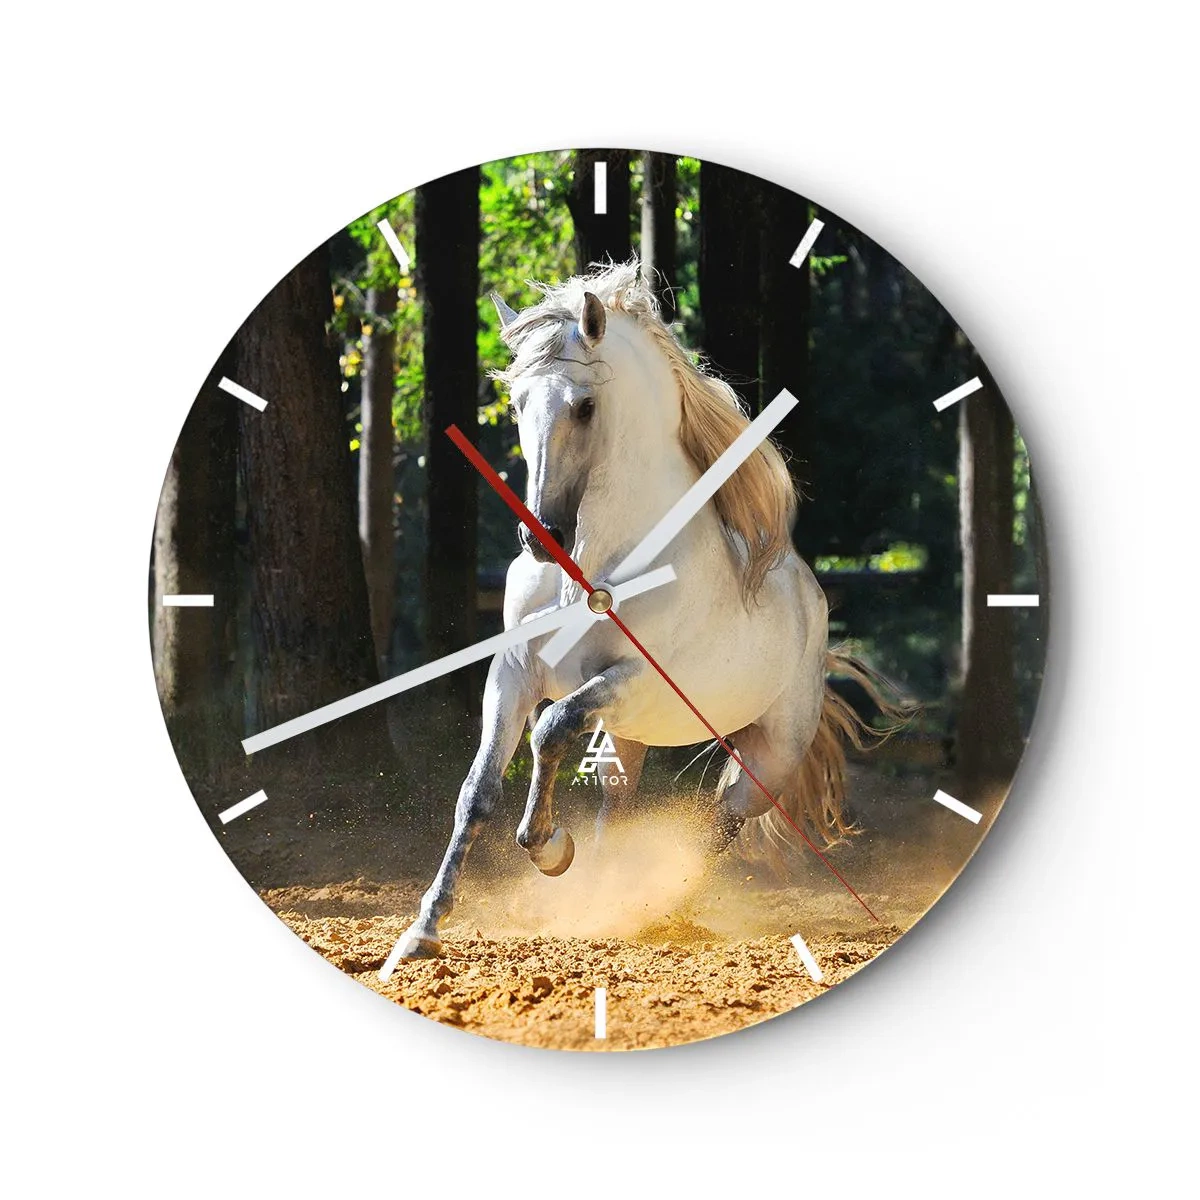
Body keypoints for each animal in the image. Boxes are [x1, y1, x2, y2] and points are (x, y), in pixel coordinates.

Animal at [392, 261, 892, 960]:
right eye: (518, 403)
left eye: (585, 405)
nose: (540, 536)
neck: (590, 570)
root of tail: (812, 607)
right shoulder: (514, 673)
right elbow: (477, 792)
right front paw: (424, 930)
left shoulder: (633, 680)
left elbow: (550, 732)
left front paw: (550, 849)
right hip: (627, 736)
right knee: (619, 803)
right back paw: (599, 904)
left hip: (766, 756)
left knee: (722, 819)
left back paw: (652, 906)